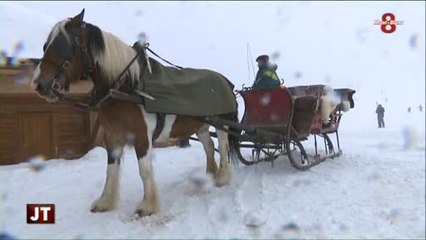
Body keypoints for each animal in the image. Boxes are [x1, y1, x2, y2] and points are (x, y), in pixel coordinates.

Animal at [32, 9, 240, 218]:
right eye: (45, 46)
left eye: (63, 45)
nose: (39, 84)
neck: (126, 86)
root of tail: (225, 80)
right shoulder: (112, 137)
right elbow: (111, 168)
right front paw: (105, 202)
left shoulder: (141, 137)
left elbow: (144, 170)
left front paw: (147, 206)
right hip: (201, 125)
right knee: (208, 146)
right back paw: (210, 174)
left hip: (222, 123)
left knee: (222, 145)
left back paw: (222, 178)